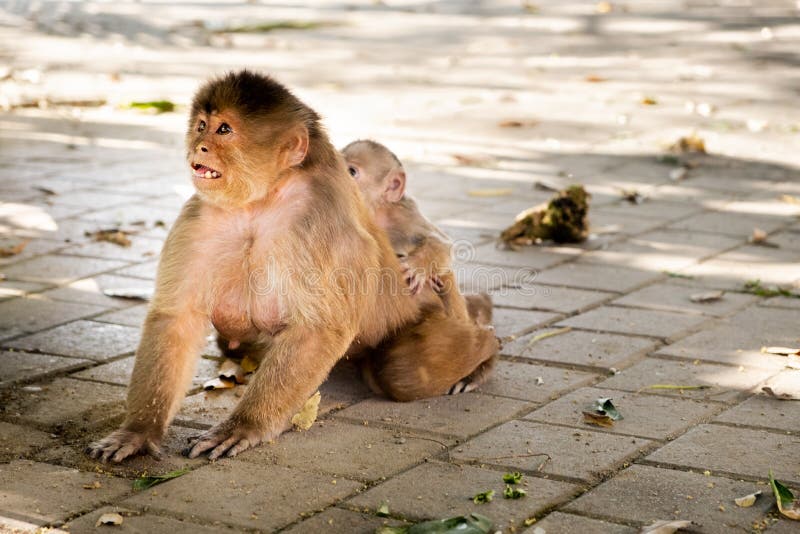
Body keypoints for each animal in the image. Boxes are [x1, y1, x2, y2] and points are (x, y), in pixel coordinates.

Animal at [88, 70, 428, 464]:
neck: (264, 199)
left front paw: (243, 426)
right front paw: (139, 431)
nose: (199, 146)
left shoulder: (320, 220)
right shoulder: (198, 215)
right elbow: (177, 317)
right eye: (201, 126)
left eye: (223, 130)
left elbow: (318, 328)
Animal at [340, 140, 496, 400]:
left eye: (352, 171)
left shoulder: (405, 214)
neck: (376, 213)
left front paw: (416, 266)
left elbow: (442, 245)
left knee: (443, 277)